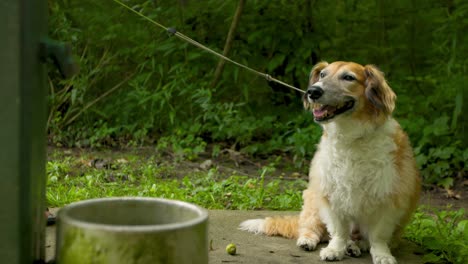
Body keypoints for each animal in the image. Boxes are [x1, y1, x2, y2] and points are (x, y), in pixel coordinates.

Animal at [241, 61, 420, 264]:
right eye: (322, 75)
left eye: (348, 77)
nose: (312, 91)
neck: (351, 138)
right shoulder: (331, 194)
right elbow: (338, 231)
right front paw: (335, 249)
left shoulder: (389, 200)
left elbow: (378, 236)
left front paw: (382, 254)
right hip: (313, 203)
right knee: (313, 228)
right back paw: (311, 240)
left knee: (360, 238)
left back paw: (356, 246)